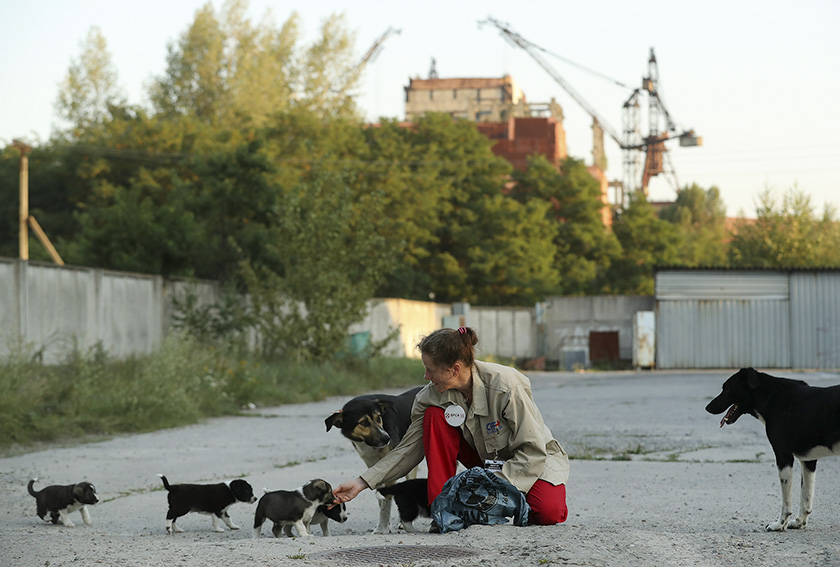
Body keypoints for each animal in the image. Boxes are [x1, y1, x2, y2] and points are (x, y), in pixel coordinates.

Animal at [326, 386, 424, 532]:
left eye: (378, 418)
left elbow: (385, 502)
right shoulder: (376, 468)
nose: (387, 438)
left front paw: (381, 529)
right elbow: (380, 499)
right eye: (364, 422)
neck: (369, 445)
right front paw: (384, 525)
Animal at [704, 368, 840, 532]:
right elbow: (806, 496)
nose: (707, 407)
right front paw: (800, 522)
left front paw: (779, 524)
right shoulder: (808, 460)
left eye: (727, 389)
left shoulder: (783, 456)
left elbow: (786, 502)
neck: (770, 397)